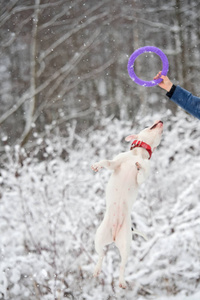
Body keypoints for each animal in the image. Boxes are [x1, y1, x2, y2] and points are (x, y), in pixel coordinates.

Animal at [91, 120, 163, 288]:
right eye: (148, 125)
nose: (161, 121)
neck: (138, 154)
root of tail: (114, 236)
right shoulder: (116, 163)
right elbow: (107, 162)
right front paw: (97, 165)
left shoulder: (142, 177)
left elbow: (141, 174)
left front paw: (140, 166)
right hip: (99, 237)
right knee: (101, 254)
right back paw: (97, 269)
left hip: (125, 245)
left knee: (122, 264)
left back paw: (122, 281)